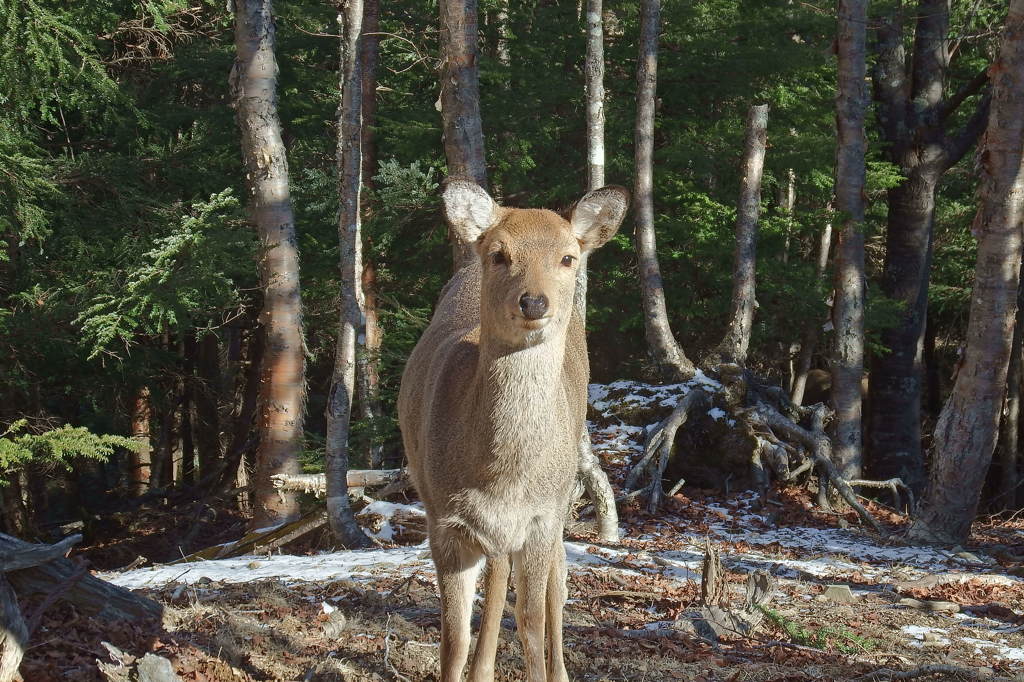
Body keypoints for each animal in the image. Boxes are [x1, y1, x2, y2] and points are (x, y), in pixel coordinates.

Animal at [397, 178, 622, 675]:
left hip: (561, 498)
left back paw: (561, 670)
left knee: (557, 586)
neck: (500, 475)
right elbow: (453, 639)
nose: (534, 301)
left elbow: (531, 622)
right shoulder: (442, 520)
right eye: (499, 254)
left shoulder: (542, 516)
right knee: (499, 574)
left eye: (567, 257)